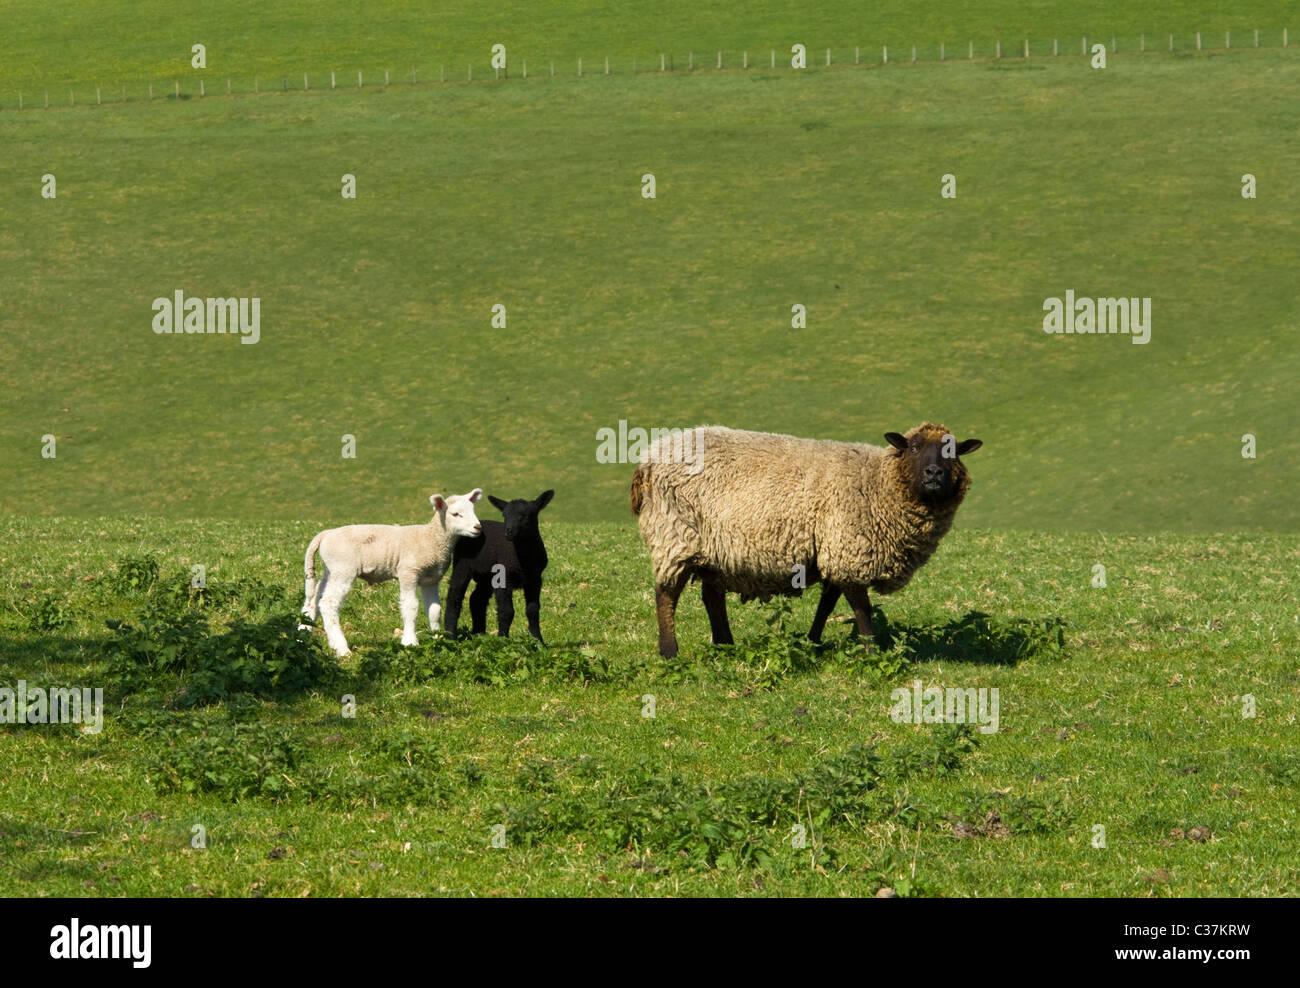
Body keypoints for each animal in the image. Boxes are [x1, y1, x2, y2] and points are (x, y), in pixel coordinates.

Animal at [301, 491, 486, 660]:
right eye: (455, 514)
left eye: (473, 510)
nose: (478, 527)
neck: (430, 538)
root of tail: (325, 534)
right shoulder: (408, 572)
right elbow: (411, 607)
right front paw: (410, 642)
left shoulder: (431, 580)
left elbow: (434, 610)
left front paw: (439, 639)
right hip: (343, 568)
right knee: (328, 604)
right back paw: (341, 648)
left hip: (331, 569)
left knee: (314, 599)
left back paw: (302, 635)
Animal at [447, 491, 553, 639]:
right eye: (504, 515)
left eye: (526, 515)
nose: (508, 531)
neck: (524, 558)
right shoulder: (504, 576)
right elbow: (506, 611)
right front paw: (503, 638)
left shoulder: (535, 579)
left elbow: (533, 610)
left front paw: (538, 640)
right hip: (462, 564)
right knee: (454, 597)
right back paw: (450, 635)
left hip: (486, 574)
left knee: (476, 599)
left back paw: (479, 633)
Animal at [631, 418, 982, 655]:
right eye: (915, 447)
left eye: (952, 451)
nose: (934, 473)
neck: (878, 483)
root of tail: (649, 459)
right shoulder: (850, 550)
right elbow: (862, 609)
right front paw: (871, 651)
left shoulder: (835, 551)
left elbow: (827, 605)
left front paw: (813, 641)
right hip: (674, 535)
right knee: (666, 594)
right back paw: (670, 652)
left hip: (715, 549)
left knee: (712, 597)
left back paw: (725, 645)